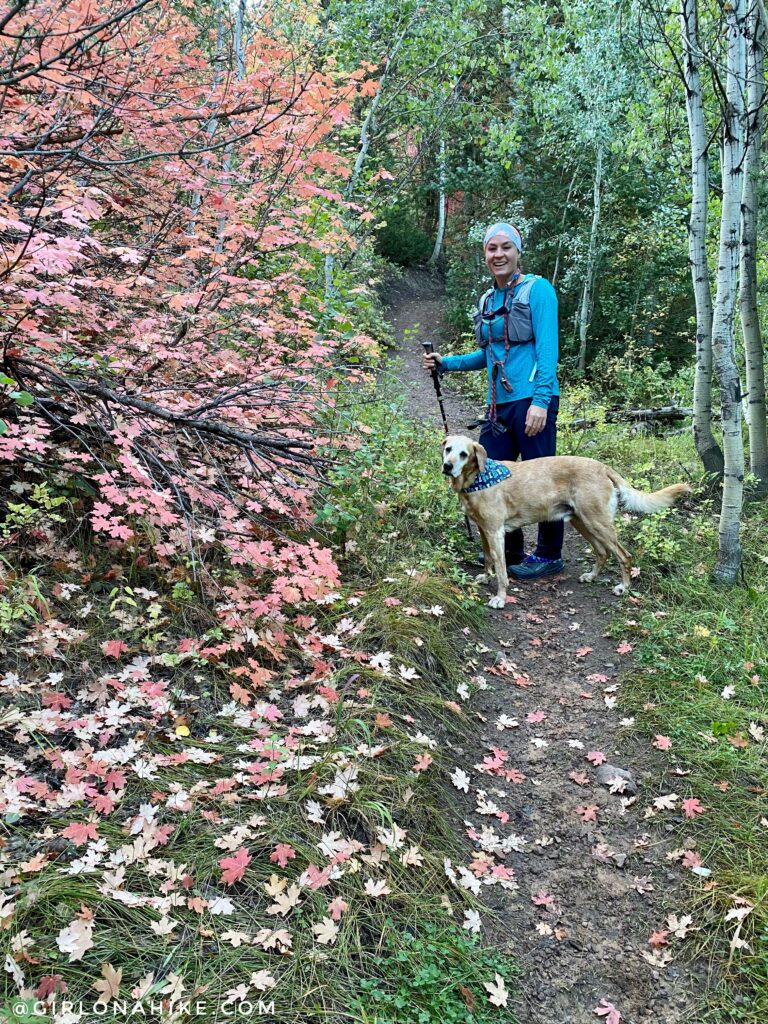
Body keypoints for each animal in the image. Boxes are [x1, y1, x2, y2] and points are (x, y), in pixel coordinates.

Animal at [442, 434, 696, 606]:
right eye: (447, 449)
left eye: (464, 454)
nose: (447, 466)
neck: (476, 479)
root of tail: (603, 467)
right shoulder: (483, 530)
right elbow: (488, 559)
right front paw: (486, 577)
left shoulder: (496, 532)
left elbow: (502, 570)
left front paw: (500, 597)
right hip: (581, 521)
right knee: (602, 552)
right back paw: (592, 576)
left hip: (598, 523)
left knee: (624, 555)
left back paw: (623, 587)